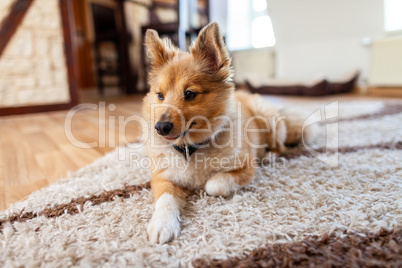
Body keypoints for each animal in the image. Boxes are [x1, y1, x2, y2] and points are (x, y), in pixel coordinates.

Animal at [142, 22, 308, 245]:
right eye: (160, 95)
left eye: (189, 94)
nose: (160, 127)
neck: (191, 148)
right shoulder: (161, 177)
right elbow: (165, 200)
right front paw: (162, 224)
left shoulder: (246, 167)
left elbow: (214, 184)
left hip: (268, 119)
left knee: (280, 147)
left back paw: (270, 155)